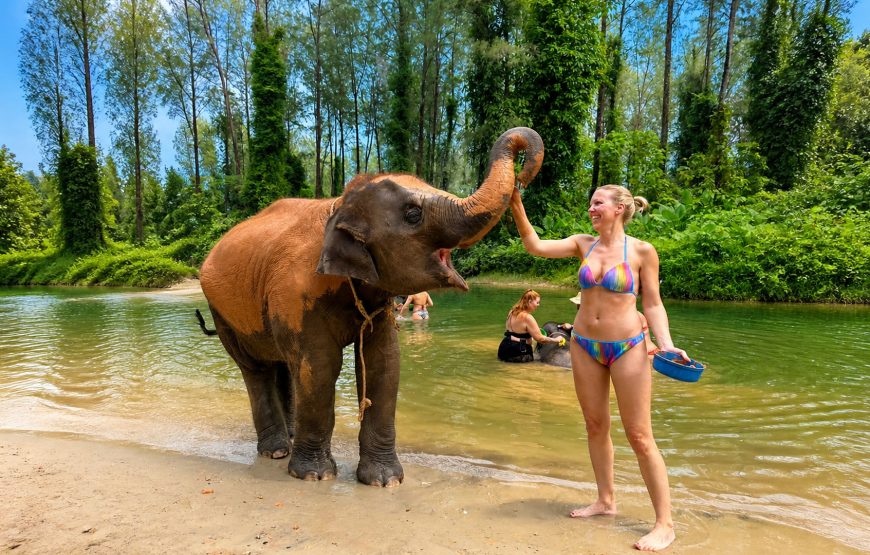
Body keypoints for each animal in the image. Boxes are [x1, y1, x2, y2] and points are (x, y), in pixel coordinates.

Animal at [198, 127, 543, 487]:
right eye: (413, 214)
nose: (523, 180)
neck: (338, 205)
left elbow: (384, 364)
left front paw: (384, 481)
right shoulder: (295, 293)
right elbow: (320, 367)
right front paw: (315, 476)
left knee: (285, 366)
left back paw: (290, 439)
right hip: (222, 312)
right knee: (257, 369)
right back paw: (277, 451)